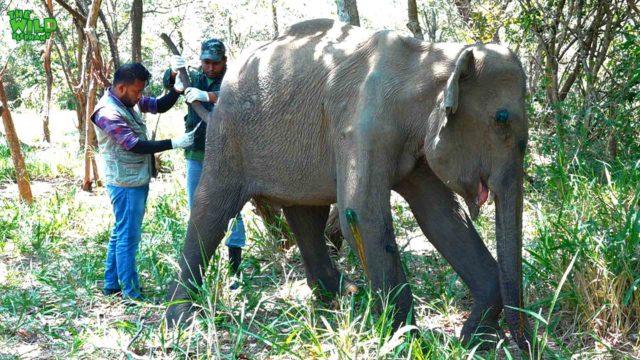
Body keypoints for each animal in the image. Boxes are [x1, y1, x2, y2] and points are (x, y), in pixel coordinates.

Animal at [166, 19, 536, 352]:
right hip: (229, 134)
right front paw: (408, 343)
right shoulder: (362, 124)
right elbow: (362, 213)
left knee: (306, 214)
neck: (431, 56)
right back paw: (180, 319)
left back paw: (342, 294)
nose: (524, 346)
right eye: (501, 119)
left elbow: (442, 218)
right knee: (212, 208)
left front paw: (475, 341)